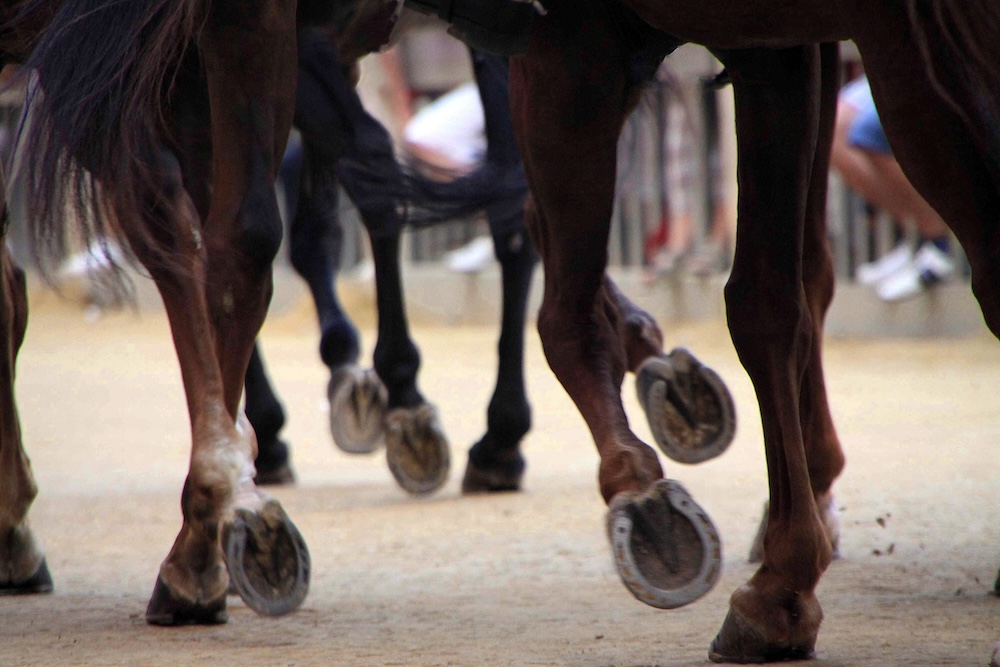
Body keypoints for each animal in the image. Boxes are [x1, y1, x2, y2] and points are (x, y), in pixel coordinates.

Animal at [1, 0, 398, 628]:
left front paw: (14, 531)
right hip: (241, 38)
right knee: (240, 239)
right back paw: (215, 527)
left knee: (167, 222)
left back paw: (200, 542)